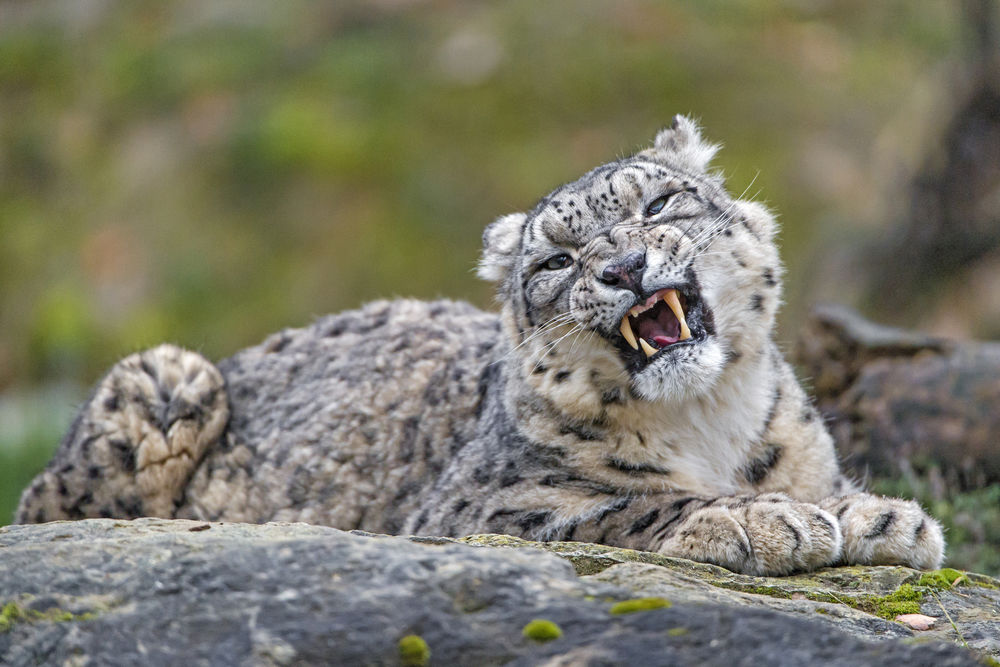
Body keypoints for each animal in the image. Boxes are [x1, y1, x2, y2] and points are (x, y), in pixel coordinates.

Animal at [13, 115, 944, 576]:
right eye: (556, 260)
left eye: (660, 204)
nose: (623, 267)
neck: (708, 422)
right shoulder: (479, 510)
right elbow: (628, 504)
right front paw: (763, 521)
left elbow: (821, 486)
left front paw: (881, 516)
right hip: (165, 376)